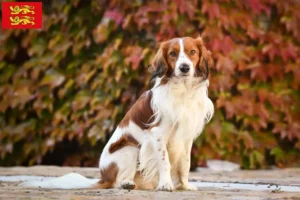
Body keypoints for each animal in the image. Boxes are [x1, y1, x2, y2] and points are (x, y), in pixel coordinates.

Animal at [97, 36, 214, 191]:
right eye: (172, 53)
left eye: (193, 52)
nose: (184, 67)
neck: (182, 90)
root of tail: (103, 176)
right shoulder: (157, 133)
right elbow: (164, 162)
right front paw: (165, 184)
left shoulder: (186, 136)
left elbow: (185, 163)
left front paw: (185, 185)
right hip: (131, 149)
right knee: (116, 182)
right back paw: (127, 183)